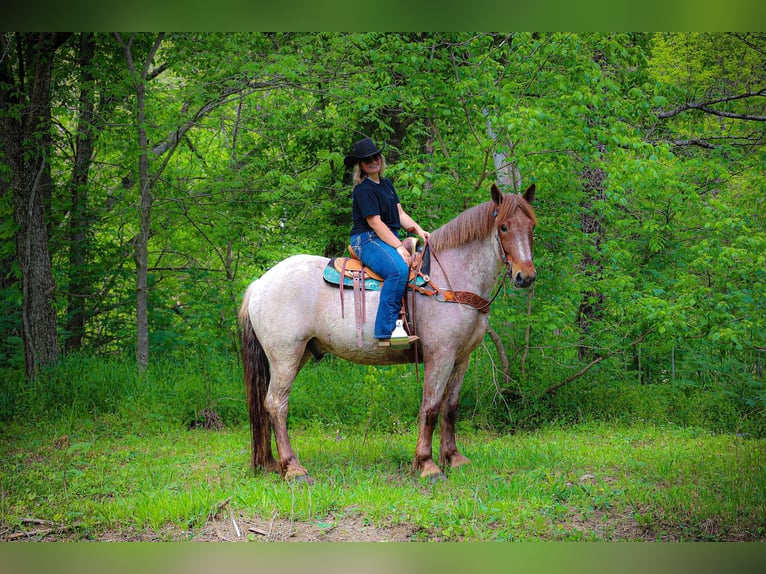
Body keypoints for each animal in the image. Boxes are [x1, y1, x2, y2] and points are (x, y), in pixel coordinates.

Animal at [240, 183, 540, 482]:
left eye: (531, 225)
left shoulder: (461, 358)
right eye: (503, 227)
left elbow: (450, 407)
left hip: (299, 353)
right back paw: (293, 468)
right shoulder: (440, 356)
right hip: (285, 356)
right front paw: (427, 465)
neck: (450, 279)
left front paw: (454, 459)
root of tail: (259, 284)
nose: (525, 276)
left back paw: (272, 463)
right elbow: (430, 407)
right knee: (276, 404)